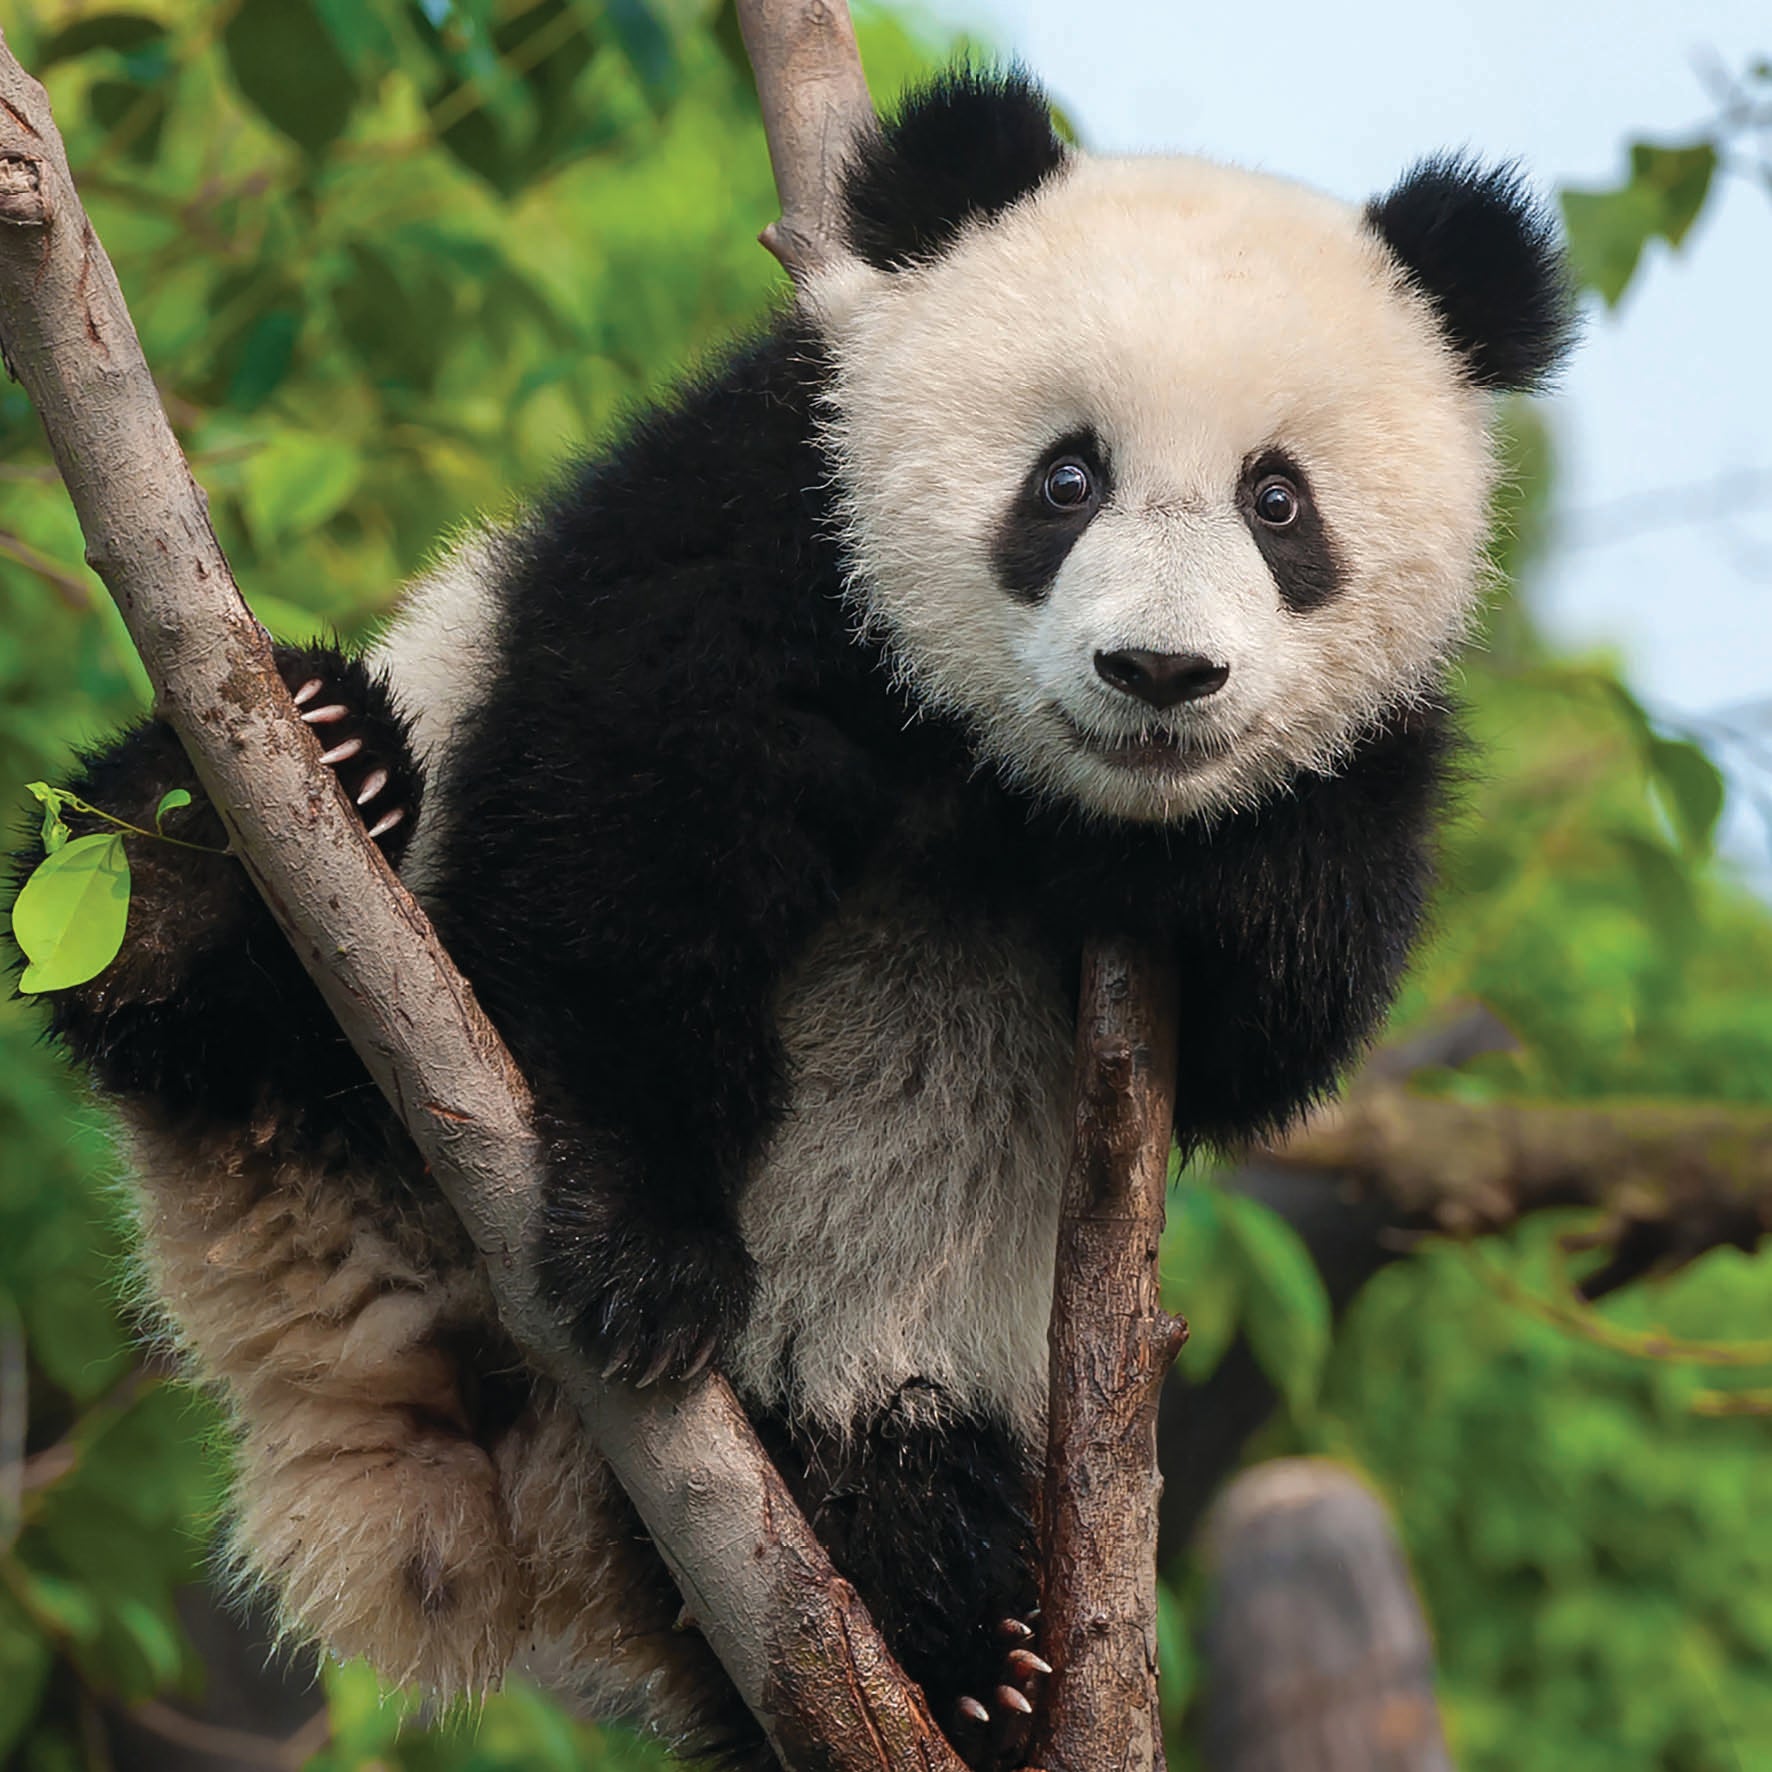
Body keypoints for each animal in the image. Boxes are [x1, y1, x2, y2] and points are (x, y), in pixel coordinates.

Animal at [21, 66, 1571, 1770]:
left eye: (1278, 502)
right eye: (1067, 479)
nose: (1159, 674)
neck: (1005, 775)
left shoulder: (1365, 774)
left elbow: (1278, 1014)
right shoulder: (777, 507)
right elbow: (628, 834)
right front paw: (649, 1252)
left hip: (903, 1362)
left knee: (885, 1431)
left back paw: (949, 1636)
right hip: (330, 1031)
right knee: (203, 962)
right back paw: (259, 816)